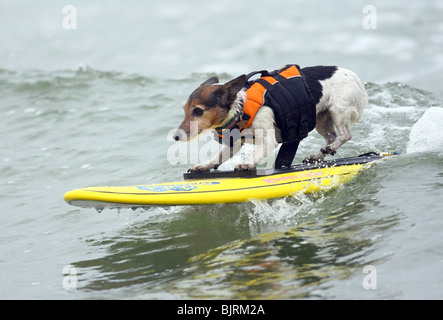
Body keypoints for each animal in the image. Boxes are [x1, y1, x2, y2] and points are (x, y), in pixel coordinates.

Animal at [173, 65, 368, 174]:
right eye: (185, 111)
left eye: (198, 111)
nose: (175, 137)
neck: (241, 110)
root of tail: (356, 79)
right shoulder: (234, 145)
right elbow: (218, 157)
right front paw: (203, 166)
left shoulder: (268, 140)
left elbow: (255, 153)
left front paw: (247, 163)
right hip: (320, 119)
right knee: (331, 137)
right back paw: (318, 155)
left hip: (338, 110)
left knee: (345, 135)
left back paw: (329, 148)